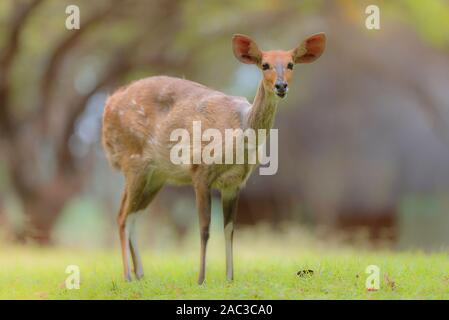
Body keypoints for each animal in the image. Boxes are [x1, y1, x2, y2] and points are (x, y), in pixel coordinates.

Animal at [101, 32, 326, 282]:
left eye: (291, 64)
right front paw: (201, 279)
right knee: (122, 216)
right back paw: (128, 276)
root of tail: (108, 106)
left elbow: (229, 230)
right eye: (264, 65)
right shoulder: (200, 171)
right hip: (134, 161)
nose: (281, 86)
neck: (239, 130)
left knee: (132, 215)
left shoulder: (234, 183)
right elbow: (204, 228)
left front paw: (230, 278)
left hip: (156, 176)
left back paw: (140, 273)